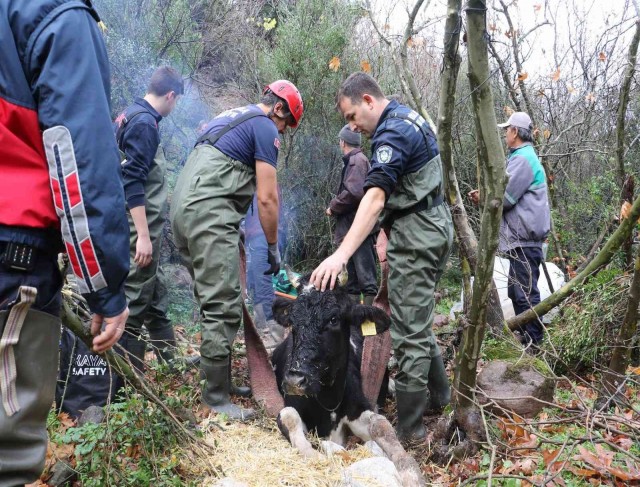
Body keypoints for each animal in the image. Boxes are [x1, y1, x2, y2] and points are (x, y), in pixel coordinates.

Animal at [270, 276, 424, 486]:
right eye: (293, 322)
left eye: (334, 319)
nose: (295, 379)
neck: (327, 400)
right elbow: (289, 416)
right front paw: (318, 458)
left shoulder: (358, 408)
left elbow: (381, 424)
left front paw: (409, 471)